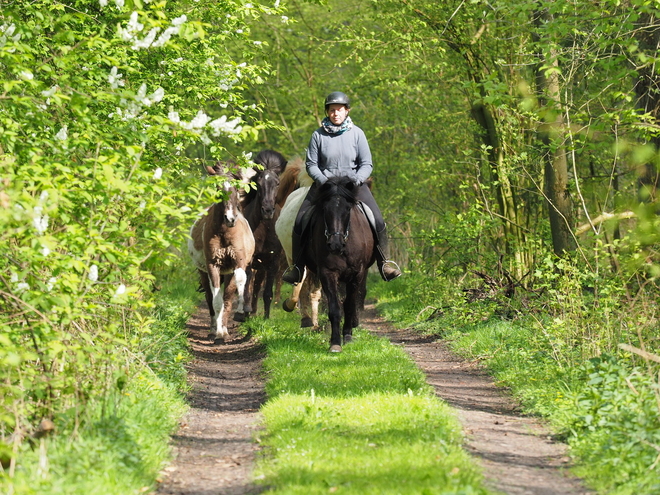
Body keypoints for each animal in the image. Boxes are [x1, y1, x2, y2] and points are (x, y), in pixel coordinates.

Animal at [189, 163, 256, 340]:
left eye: (236, 189)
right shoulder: (212, 265)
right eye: (218, 189)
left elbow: (234, 289)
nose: (230, 219)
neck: (224, 232)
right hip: (203, 271)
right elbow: (216, 300)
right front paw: (218, 332)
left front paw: (238, 313)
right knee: (209, 296)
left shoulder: (237, 263)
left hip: (227, 272)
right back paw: (214, 329)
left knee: (227, 296)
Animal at [302, 177, 374, 352]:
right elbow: (335, 308)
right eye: (325, 209)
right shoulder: (327, 273)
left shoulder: (357, 274)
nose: (335, 244)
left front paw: (347, 335)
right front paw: (335, 342)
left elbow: (349, 304)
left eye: (347, 209)